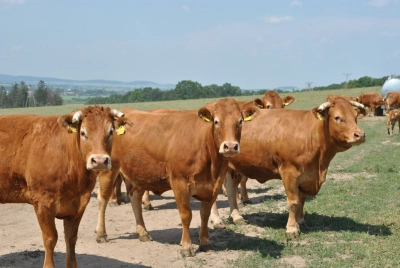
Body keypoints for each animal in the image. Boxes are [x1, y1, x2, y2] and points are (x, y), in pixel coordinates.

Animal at [0, 106, 129, 268]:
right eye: (83, 133)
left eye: (110, 131)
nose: (99, 161)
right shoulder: (43, 204)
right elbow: (50, 239)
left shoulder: (79, 204)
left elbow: (71, 238)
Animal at [95, 97, 258, 256]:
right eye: (216, 121)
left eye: (240, 121)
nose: (230, 146)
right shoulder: (179, 183)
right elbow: (186, 215)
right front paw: (186, 247)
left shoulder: (214, 186)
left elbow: (204, 215)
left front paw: (205, 242)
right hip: (108, 169)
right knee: (102, 200)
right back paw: (101, 234)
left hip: (138, 175)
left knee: (135, 199)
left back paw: (143, 233)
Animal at [212, 94, 366, 239]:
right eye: (337, 117)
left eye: (355, 116)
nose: (360, 135)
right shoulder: (289, 173)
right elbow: (294, 202)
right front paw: (292, 229)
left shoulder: (307, 176)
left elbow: (302, 200)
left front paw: (300, 221)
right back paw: (217, 221)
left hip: (233, 169)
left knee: (231, 190)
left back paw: (237, 217)